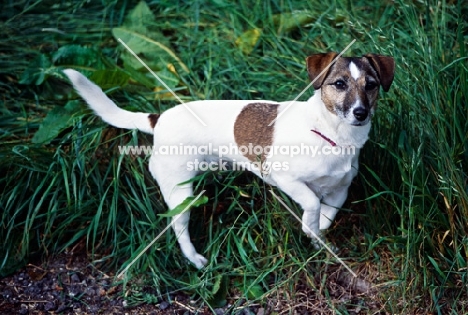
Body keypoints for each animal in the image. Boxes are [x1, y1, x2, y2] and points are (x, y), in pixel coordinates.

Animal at [64, 52, 394, 270]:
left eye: (372, 84)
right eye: (339, 84)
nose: (360, 113)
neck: (331, 134)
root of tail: (159, 119)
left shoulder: (340, 190)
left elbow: (326, 216)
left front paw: (317, 238)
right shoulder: (285, 178)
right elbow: (312, 202)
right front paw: (310, 227)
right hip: (180, 191)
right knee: (178, 227)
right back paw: (194, 259)